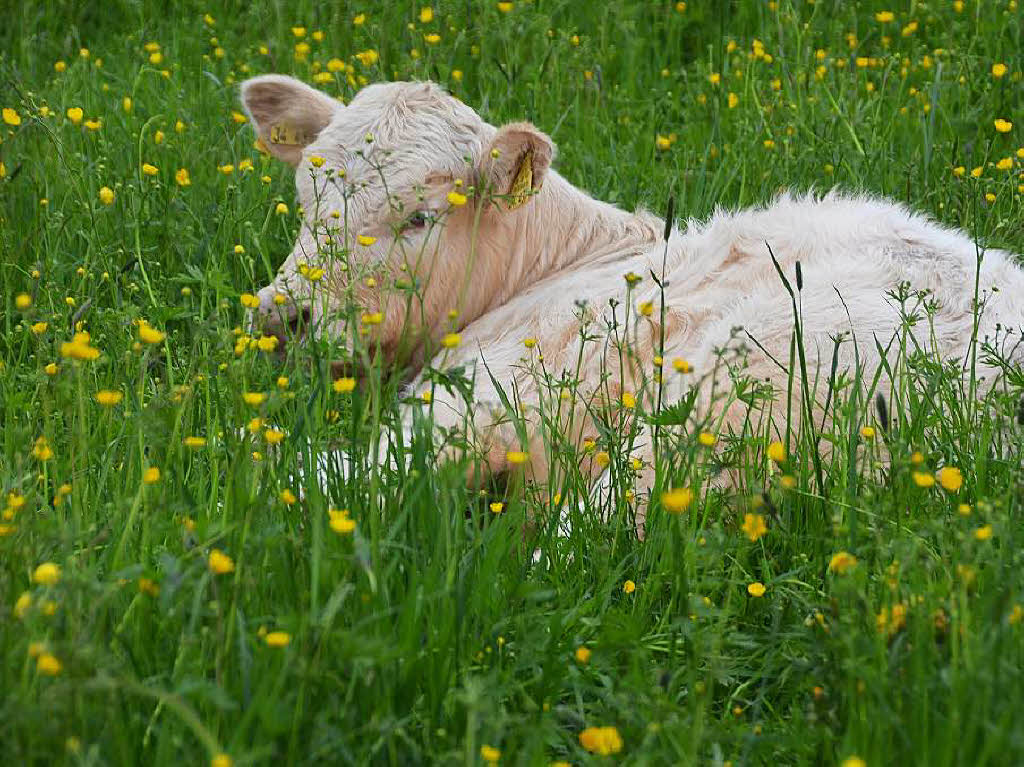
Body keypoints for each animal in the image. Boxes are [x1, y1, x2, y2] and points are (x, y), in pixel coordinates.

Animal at [239, 74, 1024, 524]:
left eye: (419, 217)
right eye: (305, 193)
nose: (281, 315)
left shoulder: (479, 397)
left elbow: (332, 472)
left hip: (710, 409)